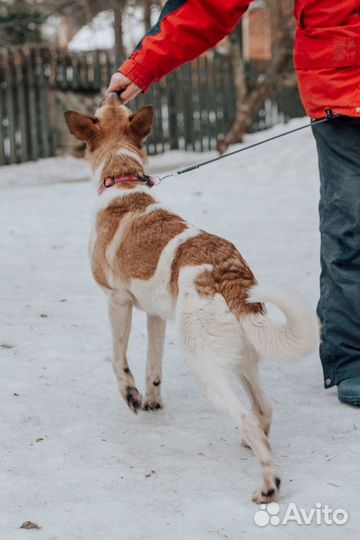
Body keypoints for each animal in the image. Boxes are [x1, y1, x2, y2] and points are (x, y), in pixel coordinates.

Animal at [64, 93, 318, 502]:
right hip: (241, 357)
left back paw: (269, 485)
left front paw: (131, 396)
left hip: (204, 364)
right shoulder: (154, 315)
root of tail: (226, 269)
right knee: (263, 410)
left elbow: (119, 360)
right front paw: (152, 401)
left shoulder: (117, 302)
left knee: (247, 416)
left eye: (103, 102)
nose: (116, 92)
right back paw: (256, 446)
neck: (123, 176)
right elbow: (152, 365)